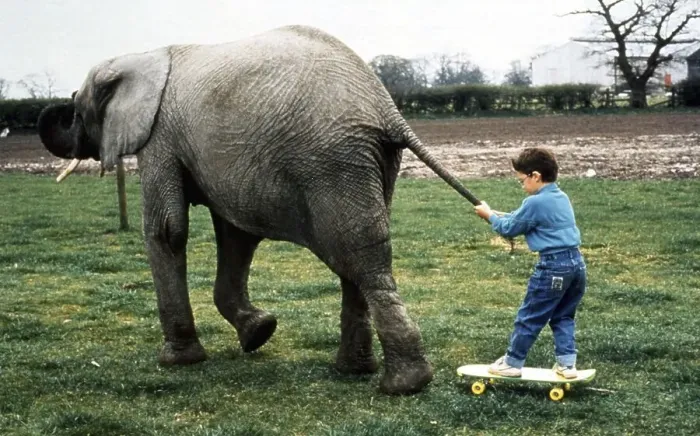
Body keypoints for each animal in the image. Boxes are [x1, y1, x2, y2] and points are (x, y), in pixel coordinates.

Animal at [37, 25, 478, 395]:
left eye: (78, 111)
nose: (58, 105)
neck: (144, 56)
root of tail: (388, 111)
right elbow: (235, 235)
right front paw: (259, 333)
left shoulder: (159, 136)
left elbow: (167, 228)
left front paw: (178, 361)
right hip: (369, 163)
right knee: (359, 256)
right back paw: (360, 372)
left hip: (331, 163)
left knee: (358, 256)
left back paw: (403, 384)